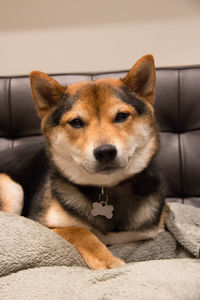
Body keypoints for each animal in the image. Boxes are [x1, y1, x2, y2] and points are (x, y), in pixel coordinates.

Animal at [0, 55, 169, 270]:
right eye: (76, 122)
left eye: (121, 116)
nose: (105, 152)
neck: (106, 191)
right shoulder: (43, 224)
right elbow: (80, 231)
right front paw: (107, 260)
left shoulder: (146, 233)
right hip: (11, 187)